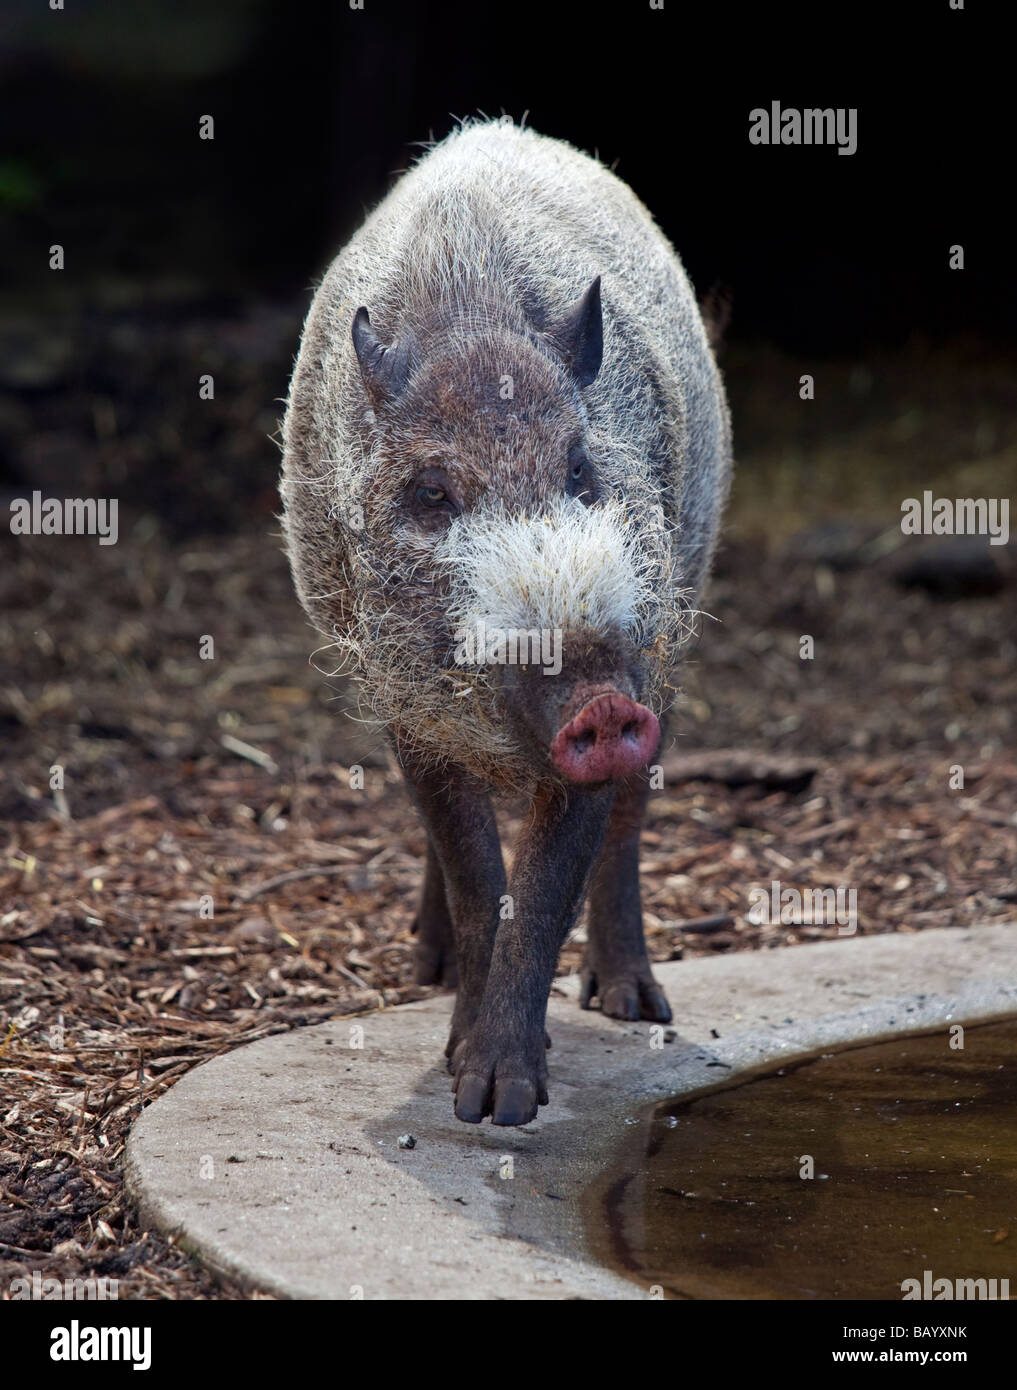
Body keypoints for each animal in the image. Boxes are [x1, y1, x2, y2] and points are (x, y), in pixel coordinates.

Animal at [280, 117, 731, 1126]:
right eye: (431, 493)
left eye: (581, 470)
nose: (598, 703)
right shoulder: (405, 705)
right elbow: (478, 875)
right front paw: (466, 1083)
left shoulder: (639, 660)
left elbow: (547, 883)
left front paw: (502, 1104)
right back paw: (429, 967)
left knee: (633, 817)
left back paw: (634, 1005)